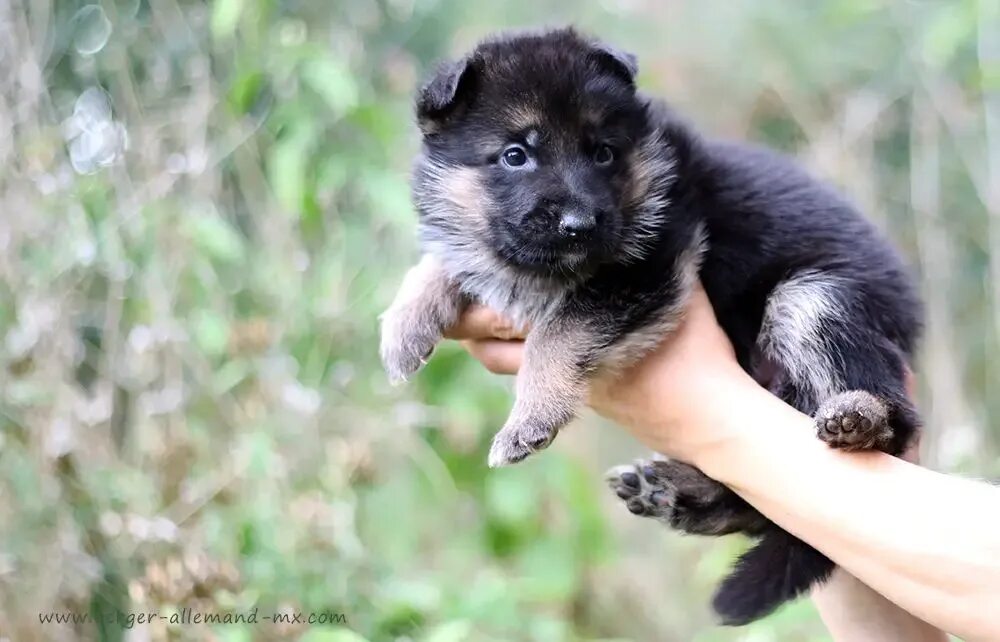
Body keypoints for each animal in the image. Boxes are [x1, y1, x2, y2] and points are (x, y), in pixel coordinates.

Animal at [380, 27, 920, 624]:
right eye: (515, 156)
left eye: (603, 152)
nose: (579, 225)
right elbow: (445, 262)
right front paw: (405, 324)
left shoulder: (650, 268)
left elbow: (556, 332)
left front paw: (530, 418)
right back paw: (681, 493)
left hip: (810, 299)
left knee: (894, 424)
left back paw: (862, 419)